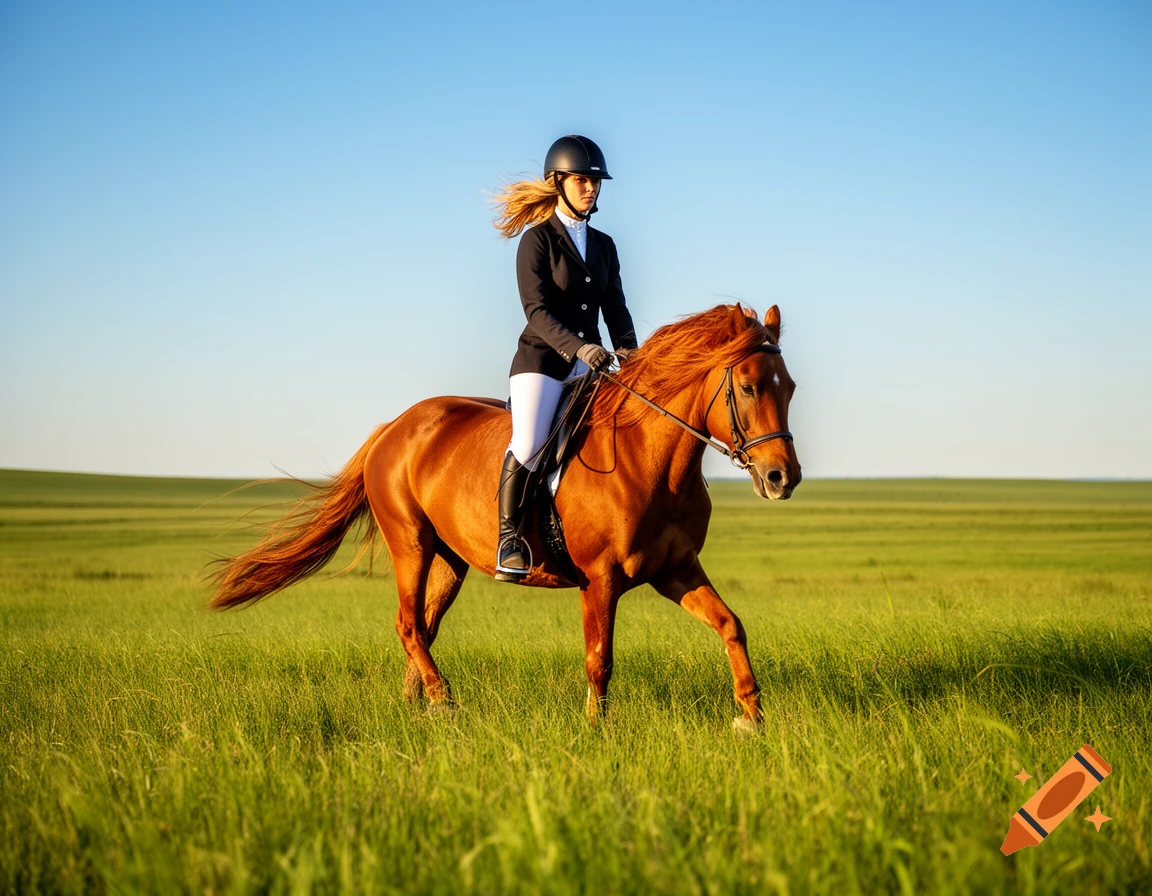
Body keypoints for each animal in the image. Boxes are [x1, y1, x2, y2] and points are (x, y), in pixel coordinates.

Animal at [209, 303, 801, 730]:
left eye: (790, 387)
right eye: (748, 387)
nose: (783, 478)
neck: (647, 458)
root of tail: (395, 426)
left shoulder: (675, 570)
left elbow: (731, 625)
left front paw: (751, 717)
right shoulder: (601, 580)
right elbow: (600, 658)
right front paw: (596, 730)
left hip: (449, 559)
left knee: (423, 626)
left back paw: (416, 703)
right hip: (411, 544)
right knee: (408, 623)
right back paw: (443, 700)